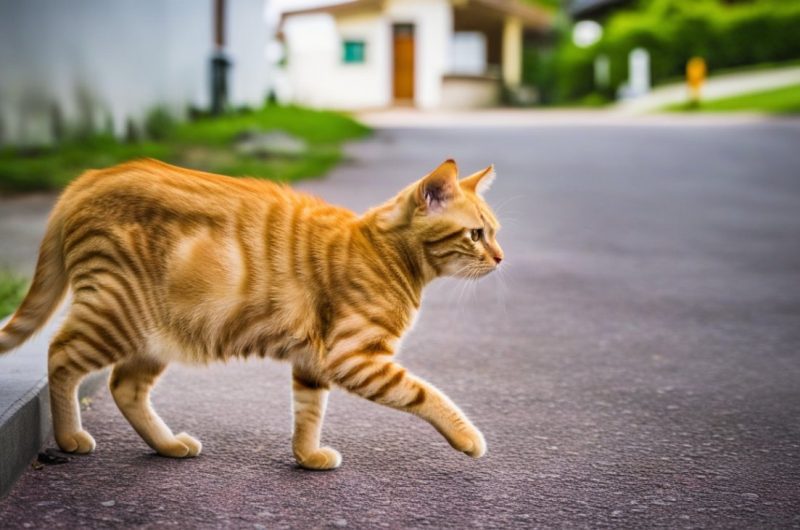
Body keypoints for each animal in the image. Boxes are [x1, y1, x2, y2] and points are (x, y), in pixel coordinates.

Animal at [0, 157, 500, 466]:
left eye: (494, 232)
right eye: (476, 234)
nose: (500, 258)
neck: (384, 253)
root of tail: (93, 175)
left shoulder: (314, 361)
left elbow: (308, 412)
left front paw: (307, 457)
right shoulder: (355, 357)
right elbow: (426, 394)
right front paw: (468, 438)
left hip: (154, 335)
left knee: (124, 386)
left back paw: (168, 445)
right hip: (115, 313)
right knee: (60, 355)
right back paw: (69, 437)